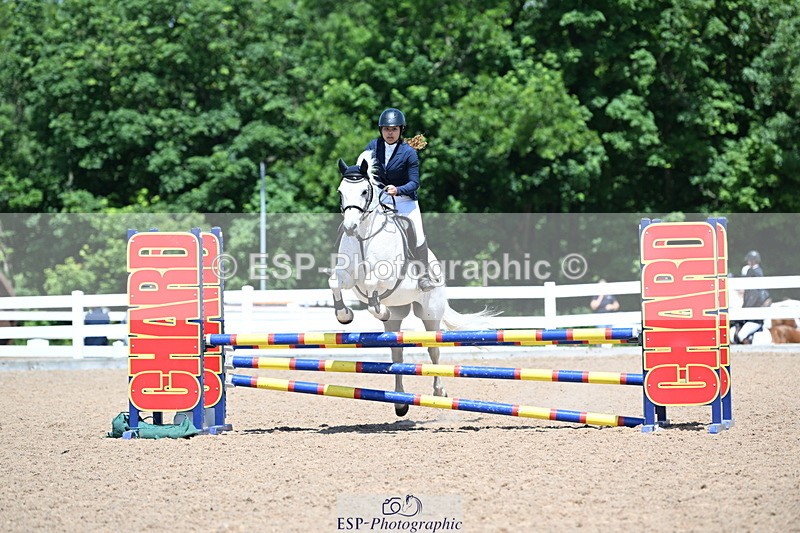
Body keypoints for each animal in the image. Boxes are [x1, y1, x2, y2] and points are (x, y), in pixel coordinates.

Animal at [328, 150, 493, 416]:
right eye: (340, 191)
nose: (350, 227)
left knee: (434, 350)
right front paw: (344, 316)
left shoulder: (386, 276)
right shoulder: (347, 277)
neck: (364, 236)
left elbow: (373, 283)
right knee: (397, 353)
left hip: (430, 314)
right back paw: (400, 401)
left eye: (364, 191)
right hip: (398, 317)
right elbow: (335, 282)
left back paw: (439, 392)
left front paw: (377, 309)